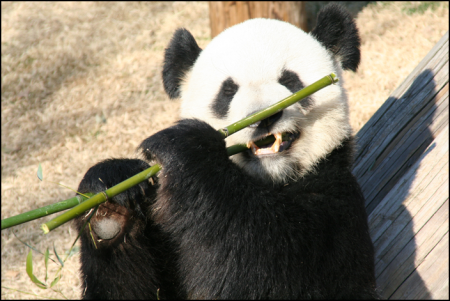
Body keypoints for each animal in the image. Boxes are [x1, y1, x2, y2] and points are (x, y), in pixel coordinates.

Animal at [74, 3, 376, 298]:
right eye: (227, 92)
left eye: (291, 81)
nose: (264, 117)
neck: (271, 179)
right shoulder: (165, 240)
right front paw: (112, 197)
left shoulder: (335, 201)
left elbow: (271, 265)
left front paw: (187, 147)